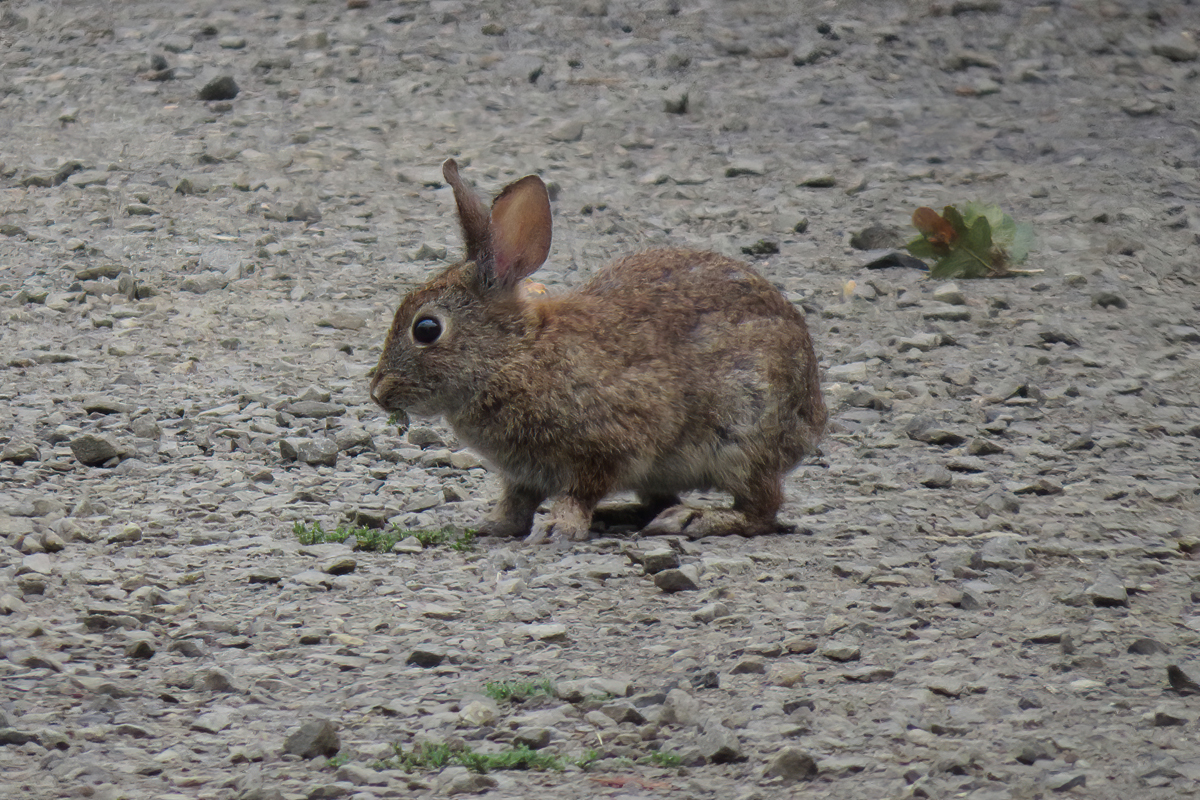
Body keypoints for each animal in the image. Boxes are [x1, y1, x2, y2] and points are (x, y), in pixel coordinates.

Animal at [369, 159, 826, 544]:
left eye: (426, 329)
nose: (378, 393)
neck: (514, 354)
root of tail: (813, 417)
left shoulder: (609, 444)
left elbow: (580, 491)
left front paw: (559, 526)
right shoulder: (523, 475)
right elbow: (516, 502)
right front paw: (492, 525)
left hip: (742, 437)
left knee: (762, 509)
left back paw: (694, 519)